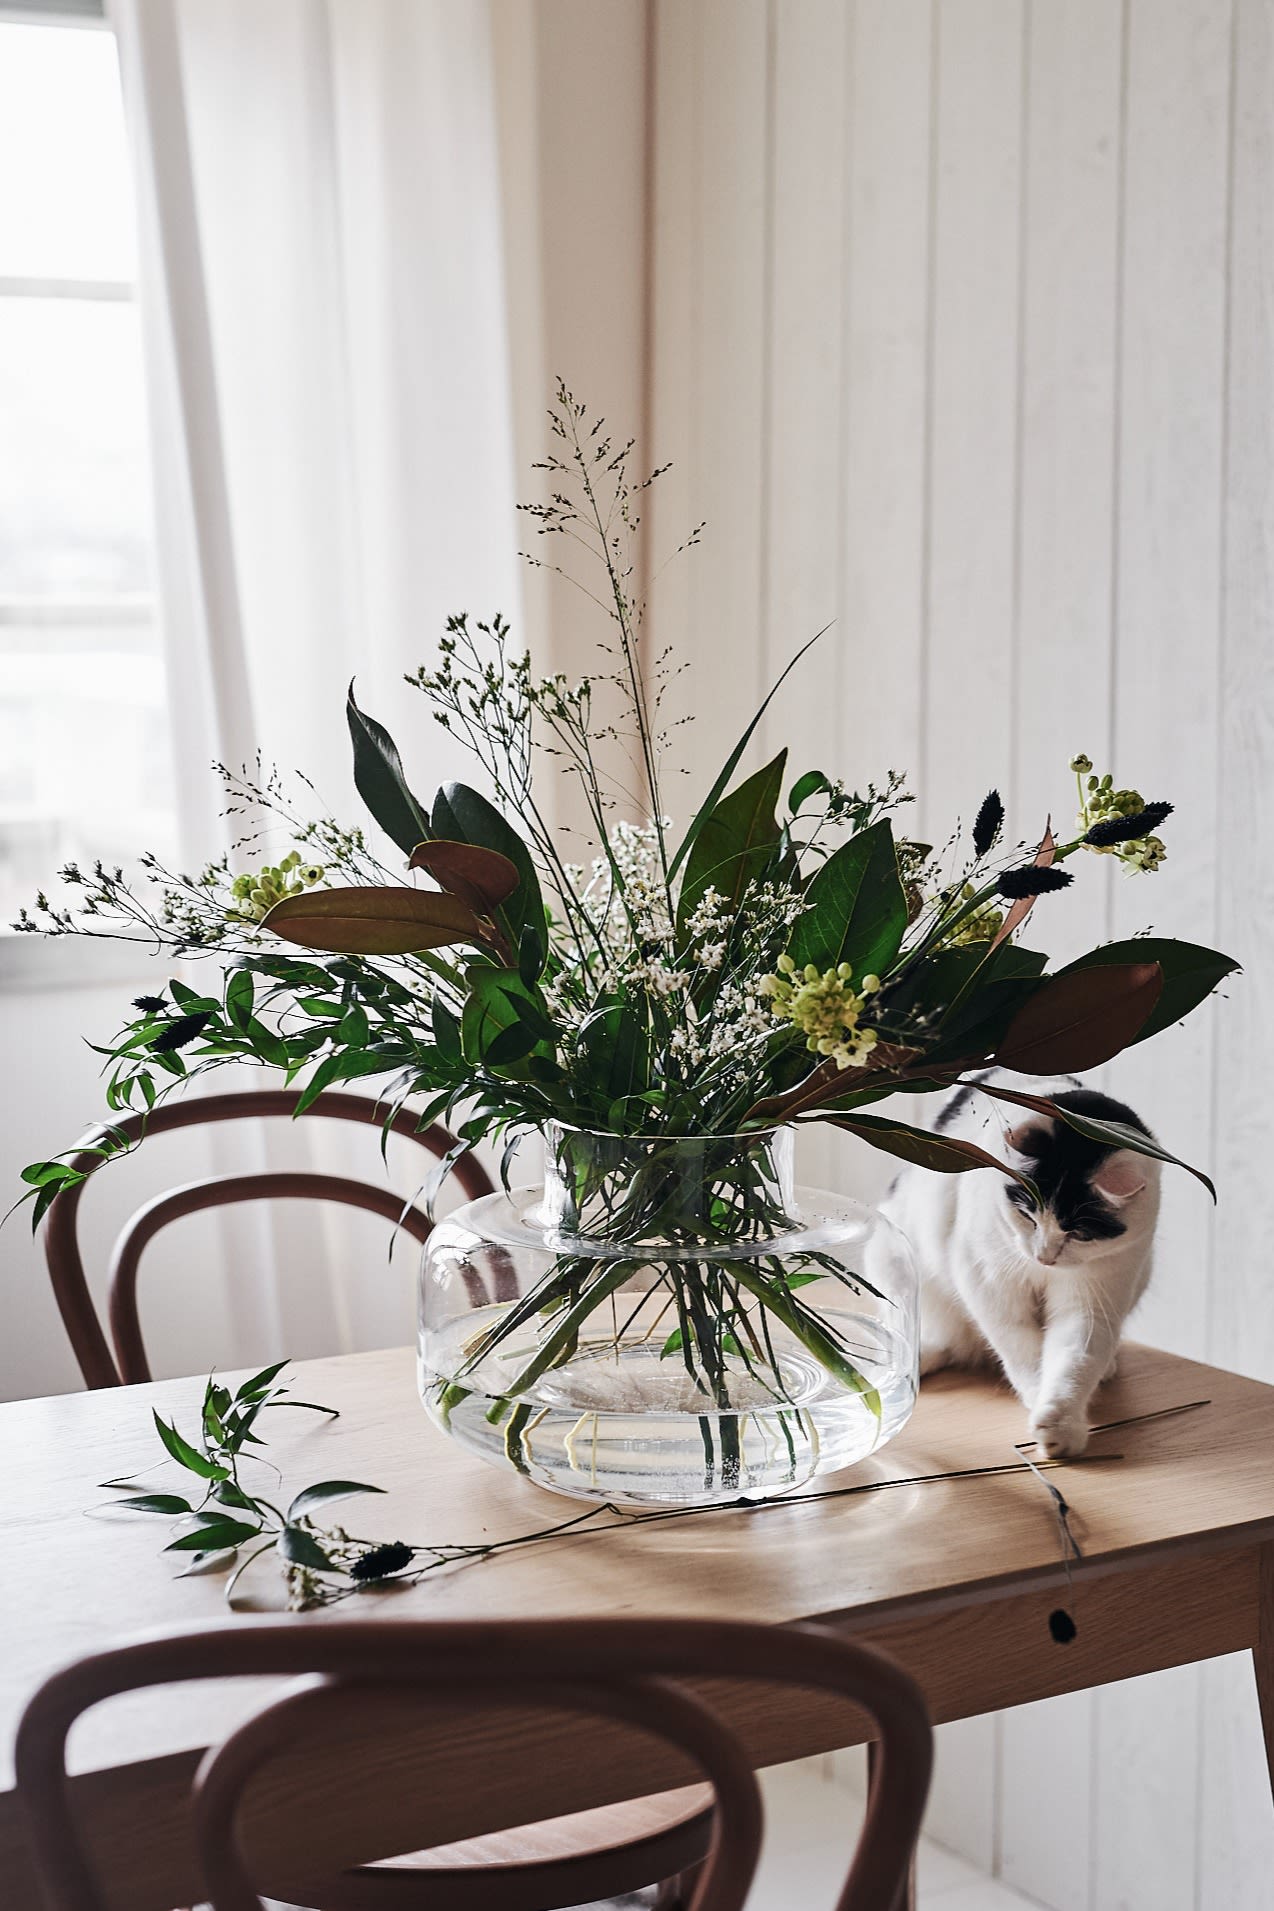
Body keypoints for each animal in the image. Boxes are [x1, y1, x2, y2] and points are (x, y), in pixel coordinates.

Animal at [882, 1070, 1161, 1452]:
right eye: (1027, 1216)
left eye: (1079, 1234)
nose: (1044, 1257)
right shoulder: (987, 1281)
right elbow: (1018, 1347)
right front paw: (1035, 1391)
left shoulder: (1094, 1296)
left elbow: (1077, 1356)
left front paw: (1061, 1422)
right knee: (944, 1341)